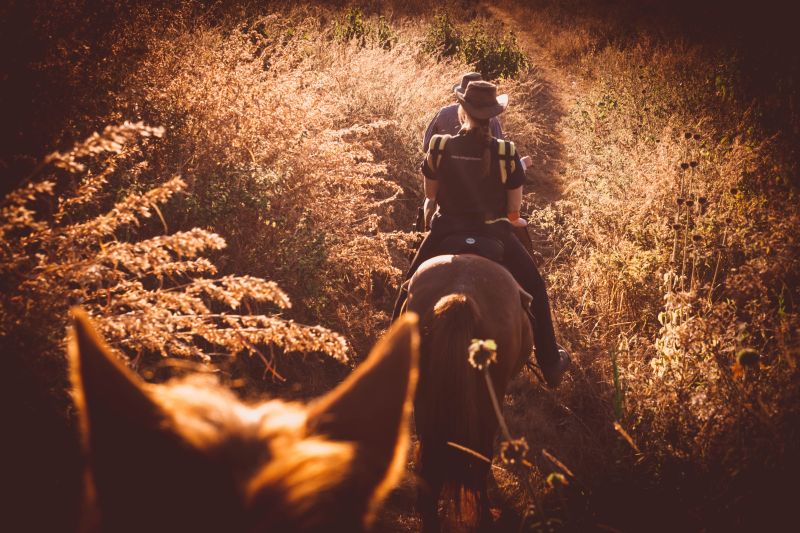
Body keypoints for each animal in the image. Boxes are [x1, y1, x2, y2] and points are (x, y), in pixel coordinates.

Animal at [410, 254, 536, 528]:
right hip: (490, 398)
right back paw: (485, 517)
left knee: (430, 460)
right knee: (480, 459)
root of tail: (462, 295)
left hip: (425, 397)